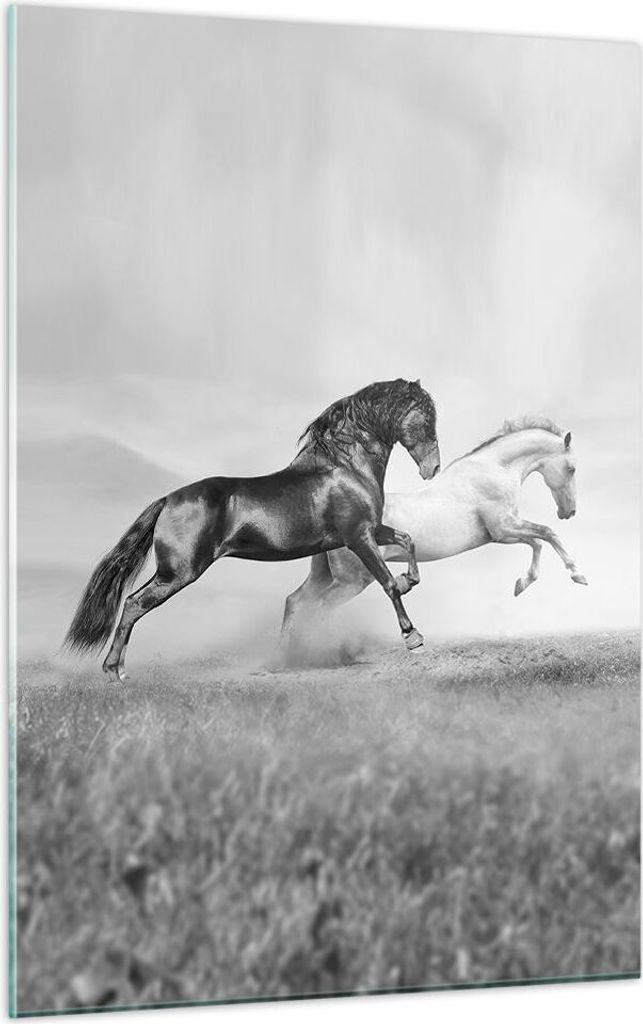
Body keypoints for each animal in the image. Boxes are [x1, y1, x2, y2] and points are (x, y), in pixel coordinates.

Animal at [65, 378, 441, 680]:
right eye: (425, 418)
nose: (432, 468)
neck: (345, 467)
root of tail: (168, 499)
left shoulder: (372, 530)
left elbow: (407, 541)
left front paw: (410, 580)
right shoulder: (358, 536)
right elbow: (388, 583)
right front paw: (413, 637)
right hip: (178, 572)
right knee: (132, 604)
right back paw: (114, 671)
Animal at [281, 417, 587, 640]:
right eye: (572, 468)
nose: (569, 512)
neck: (494, 470)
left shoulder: (505, 531)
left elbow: (538, 542)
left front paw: (521, 584)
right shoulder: (503, 530)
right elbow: (546, 534)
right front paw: (578, 575)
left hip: (325, 576)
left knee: (295, 602)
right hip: (352, 581)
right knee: (318, 608)